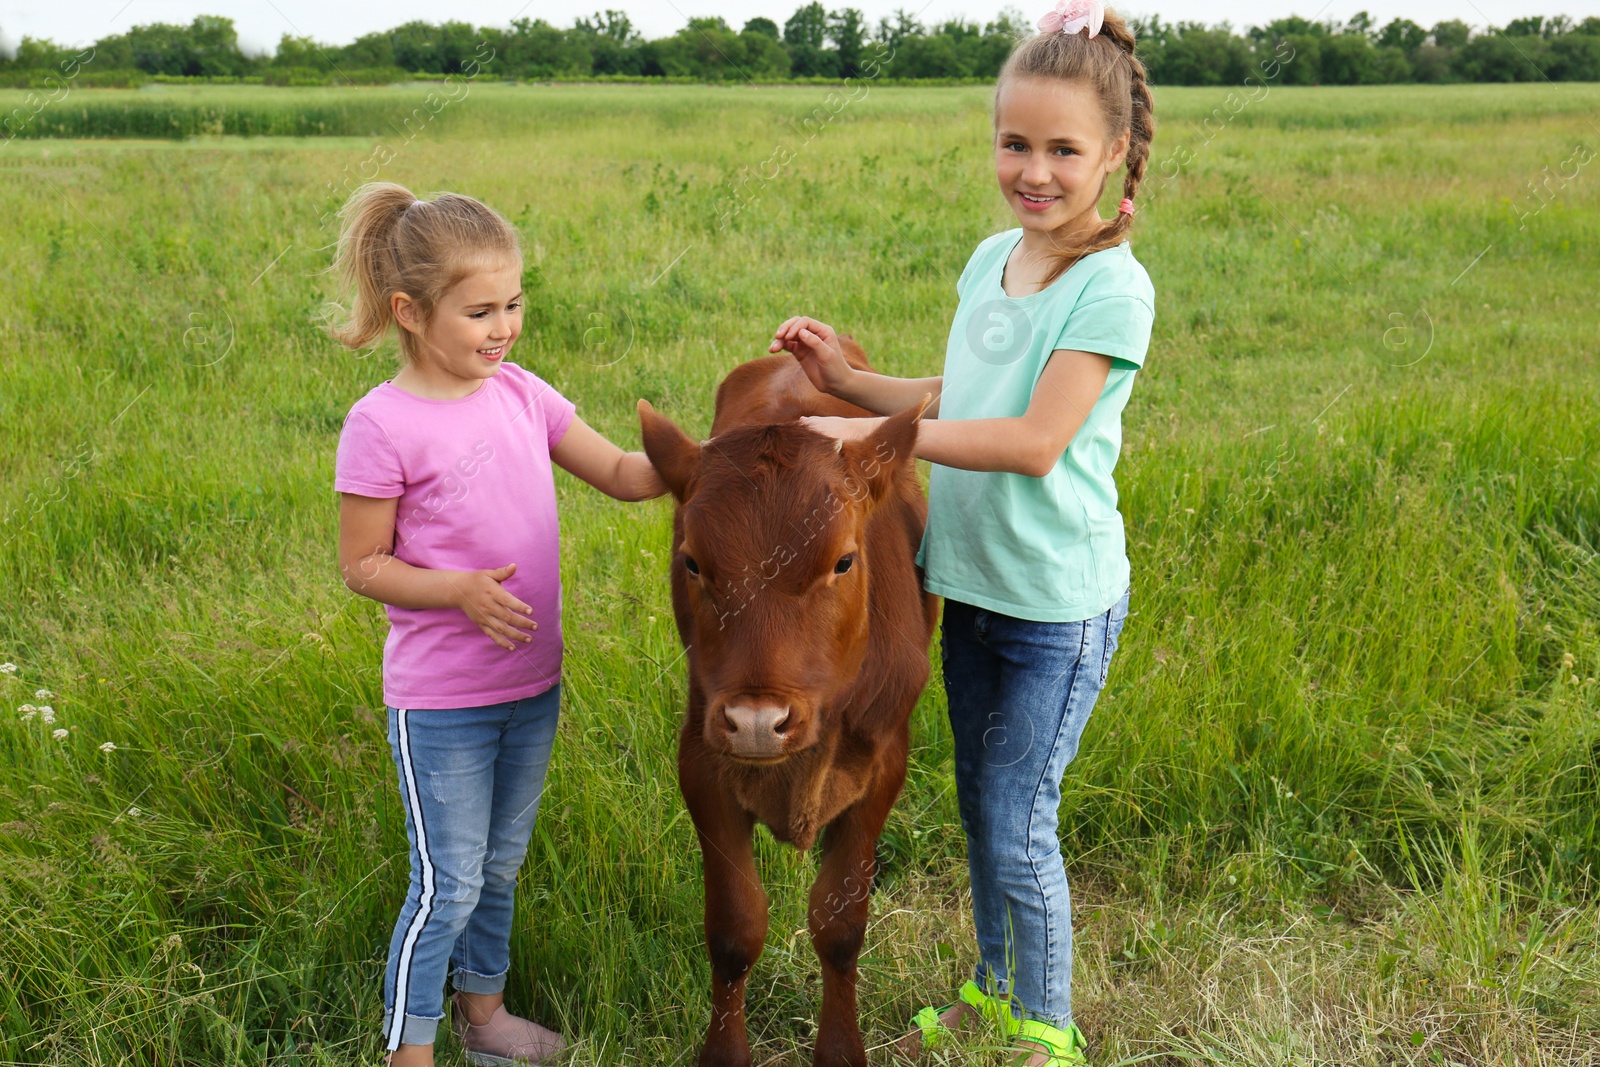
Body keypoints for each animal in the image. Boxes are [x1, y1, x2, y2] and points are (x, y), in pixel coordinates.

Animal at [636, 340, 934, 1067]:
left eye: (845, 560)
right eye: (692, 563)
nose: (756, 723)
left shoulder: (884, 763)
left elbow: (839, 923)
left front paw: (841, 1049)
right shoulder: (701, 756)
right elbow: (735, 927)